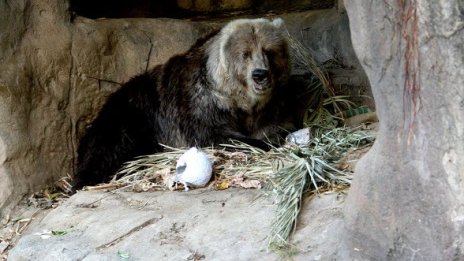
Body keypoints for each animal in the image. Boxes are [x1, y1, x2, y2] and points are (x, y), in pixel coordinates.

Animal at [74, 18, 292, 189]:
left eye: (269, 51)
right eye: (245, 53)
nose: (260, 74)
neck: (235, 101)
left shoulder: (273, 105)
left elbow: (277, 125)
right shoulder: (198, 103)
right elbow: (213, 136)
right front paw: (261, 142)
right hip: (130, 116)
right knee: (108, 150)